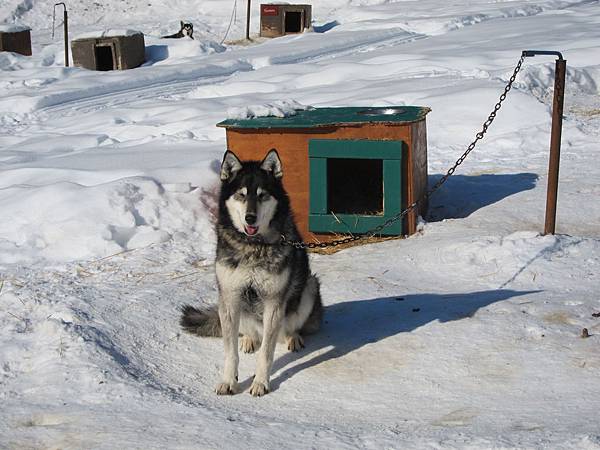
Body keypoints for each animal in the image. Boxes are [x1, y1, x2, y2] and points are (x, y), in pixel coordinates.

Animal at [180, 149, 324, 396]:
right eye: (241, 195)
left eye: (263, 195)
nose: (250, 218)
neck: (254, 245)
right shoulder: (229, 297)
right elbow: (230, 353)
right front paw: (229, 380)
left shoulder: (274, 302)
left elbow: (265, 354)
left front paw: (260, 382)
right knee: (249, 333)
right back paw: (248, 339)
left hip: (309, 287)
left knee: (290, 327)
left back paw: (293, 337)